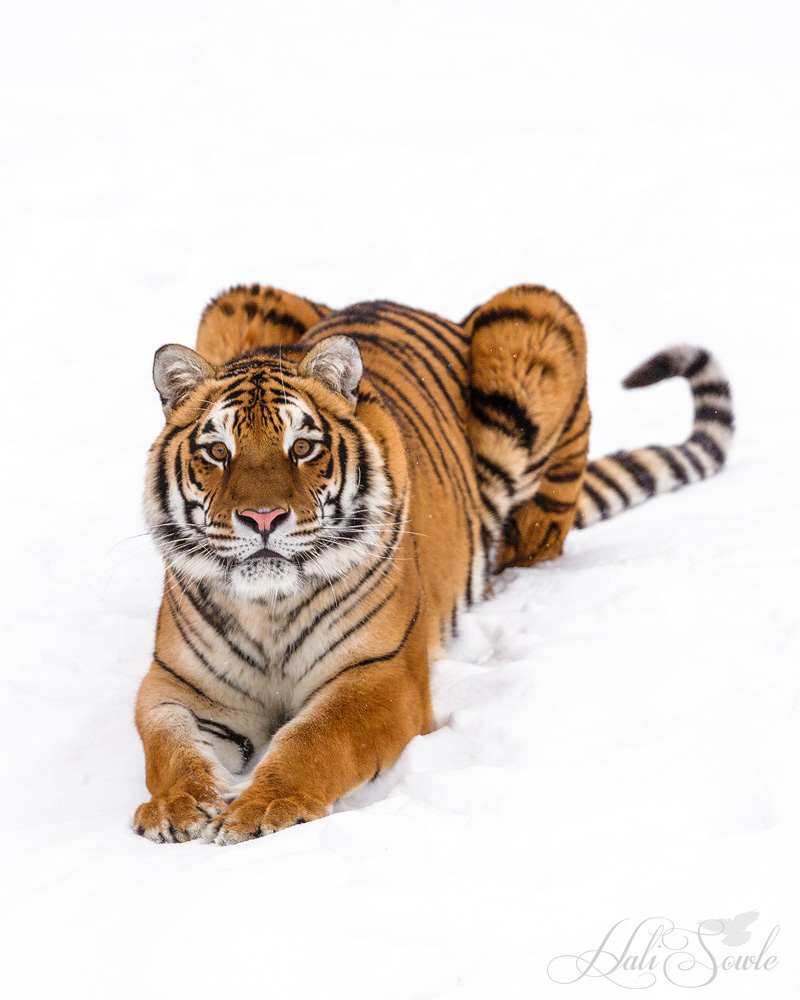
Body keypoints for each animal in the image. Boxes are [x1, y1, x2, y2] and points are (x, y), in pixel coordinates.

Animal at [133, 283, 734, 844]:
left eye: (302, 448)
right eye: (218, 451)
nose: (263, 518)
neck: (269, 610)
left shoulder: (381, 674)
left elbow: (313, 739)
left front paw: (262, 808)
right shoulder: (176, 685)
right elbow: (170, 747)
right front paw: (177, 807)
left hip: (535, 319)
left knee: (535, 537)